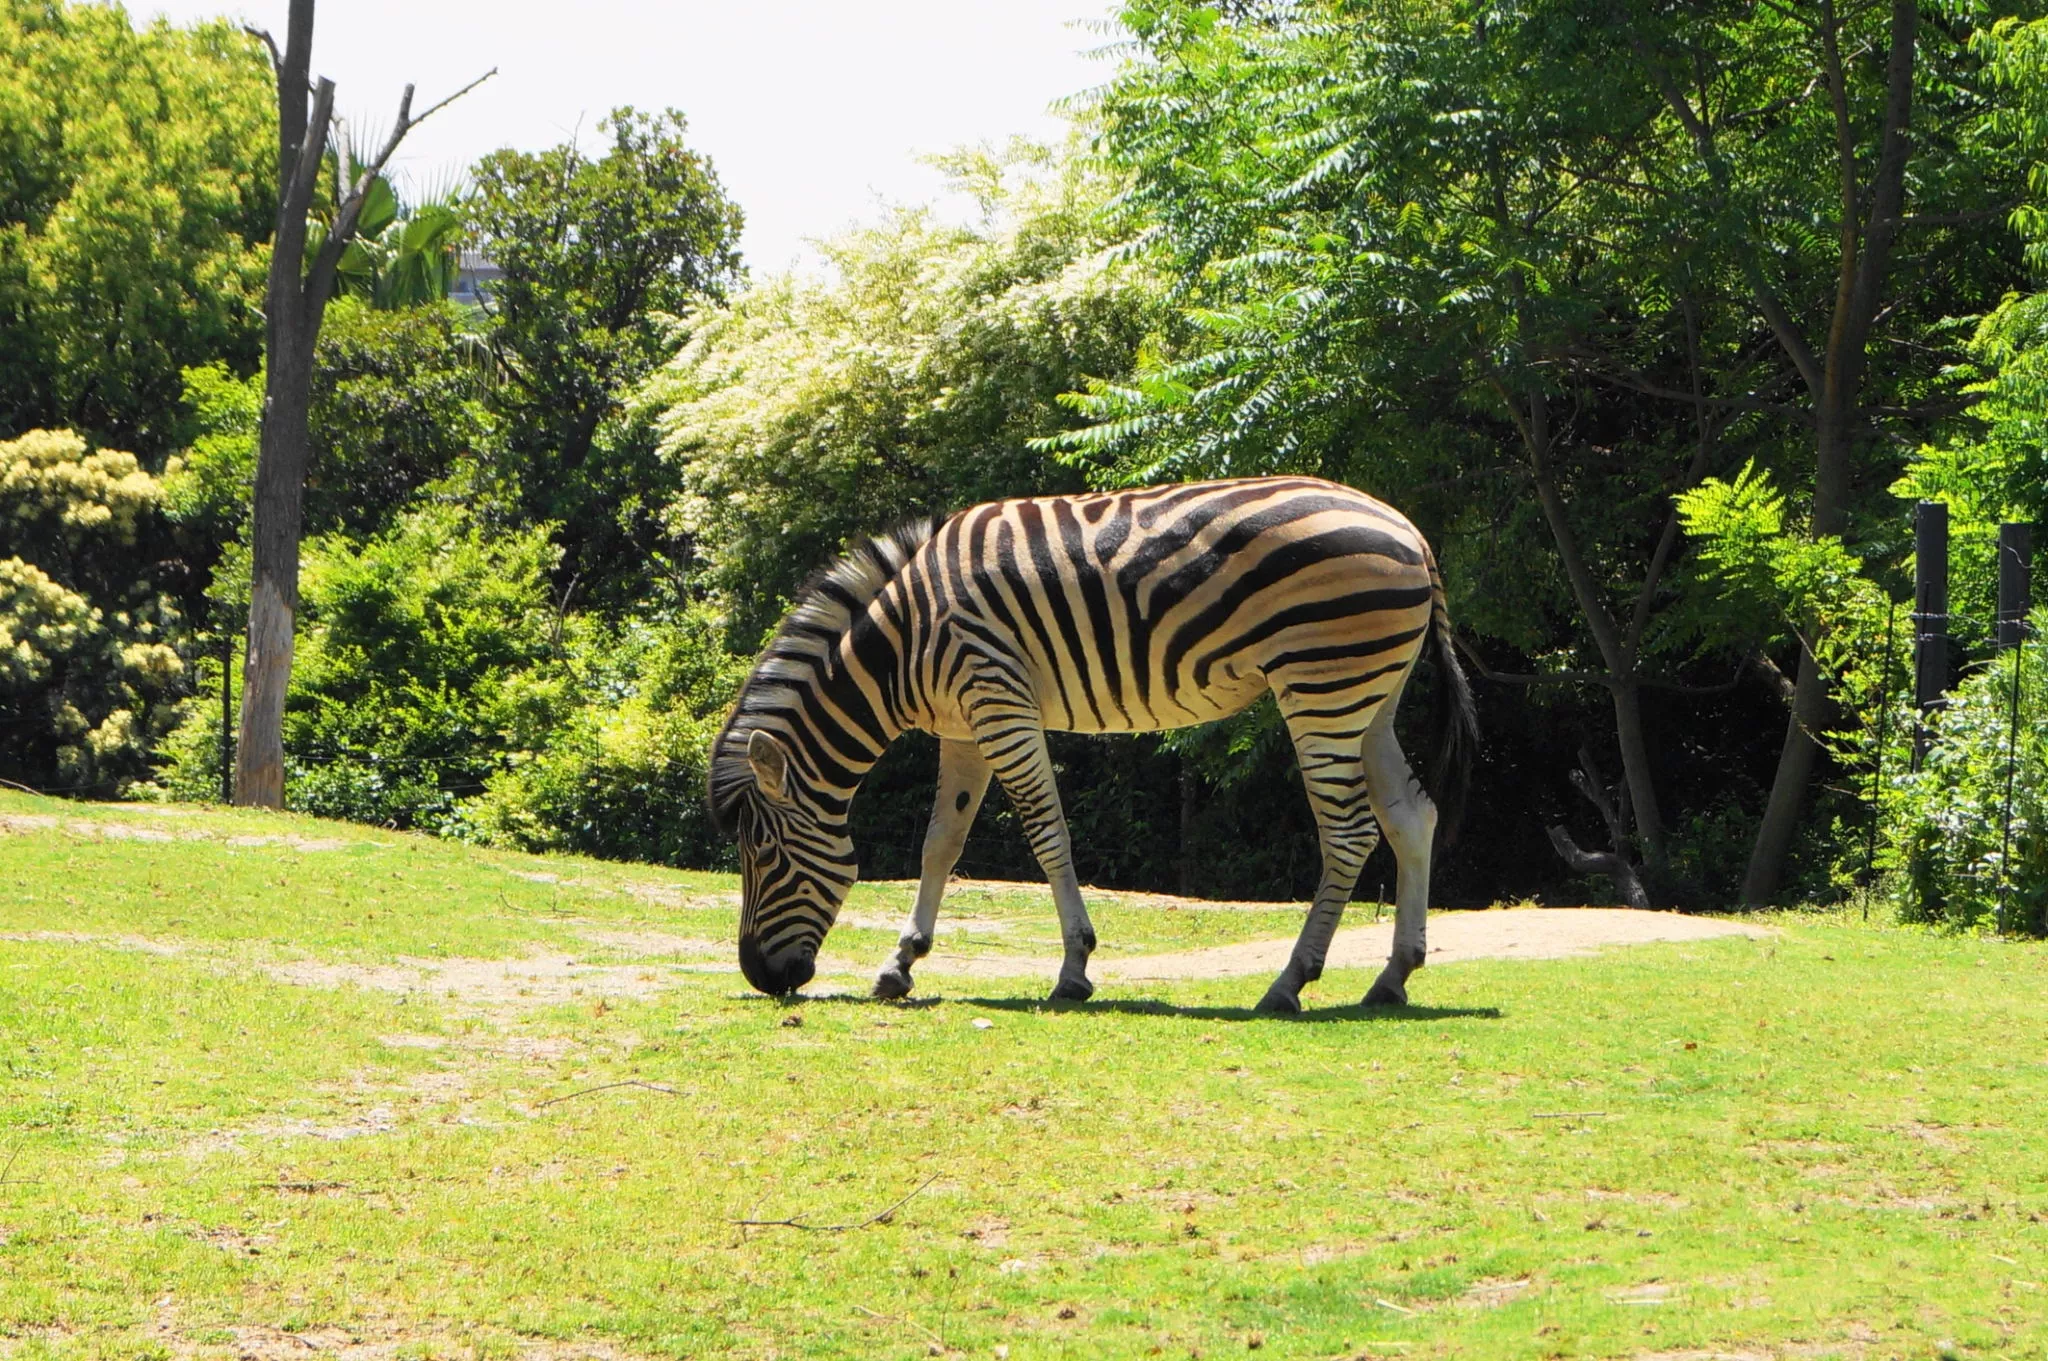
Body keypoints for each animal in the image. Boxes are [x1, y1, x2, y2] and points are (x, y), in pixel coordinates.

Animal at [704, 472, 1474, 1015]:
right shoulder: (963, 725)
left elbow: (1047, 834)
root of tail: (1411, 532)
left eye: (762, 854)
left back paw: (1289, 981)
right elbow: (940, 843)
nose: (761, 977)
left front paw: (1074, 967)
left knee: (1349, 832)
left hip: (1321, 683)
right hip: (1370, 694)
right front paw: (902, 961)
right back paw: (1393, 976)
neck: (902, 641)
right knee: (1413, 816)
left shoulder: (997, 698)